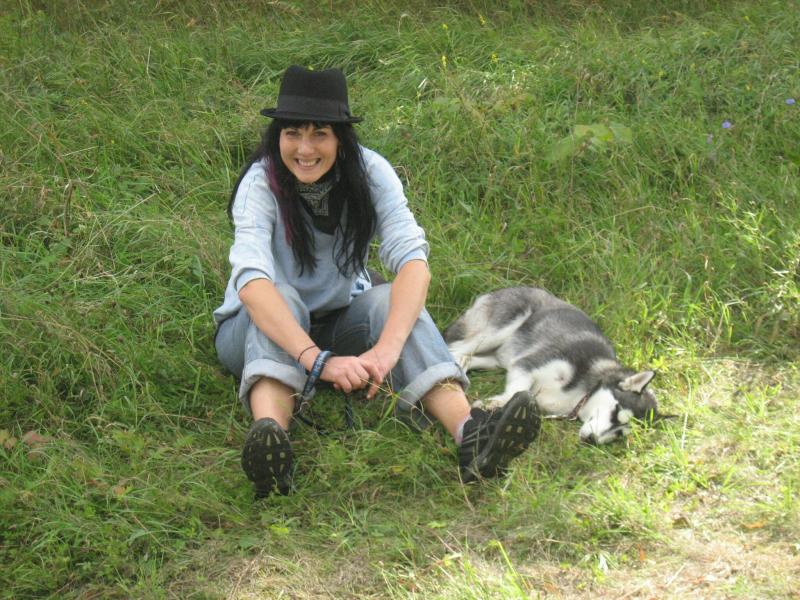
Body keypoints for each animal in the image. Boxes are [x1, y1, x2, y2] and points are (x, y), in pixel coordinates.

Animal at [444, 287, 659, 444]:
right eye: (615, 412)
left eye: (619, 433)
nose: (592, 439)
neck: (580, 395)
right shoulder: (529, 363)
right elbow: (518, 391)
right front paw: (494, 404)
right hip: (495, 331)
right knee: (455, 349)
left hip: (495, 359)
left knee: (466, 357)